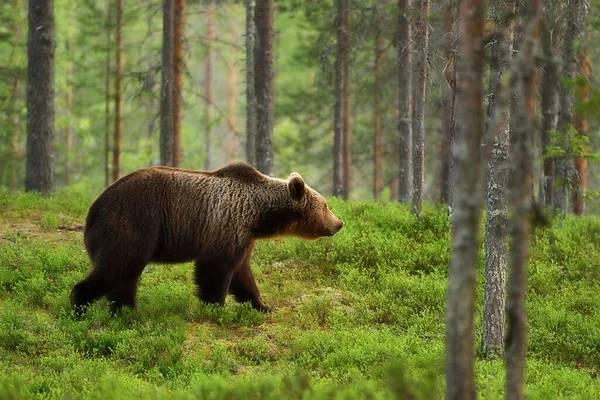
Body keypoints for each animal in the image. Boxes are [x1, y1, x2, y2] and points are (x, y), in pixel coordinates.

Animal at [69, 161, 344, 314]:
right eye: (325, 205)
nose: (339, 223)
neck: (259, 213)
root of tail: (93, 210)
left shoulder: (244, 235)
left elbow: (243, 274)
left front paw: (262, 305)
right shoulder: (228, 222)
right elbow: (215, 267)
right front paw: (215, 306)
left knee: (125, 276)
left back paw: (126, 310)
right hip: (134, 221)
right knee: (118, 266)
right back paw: (81, 304)